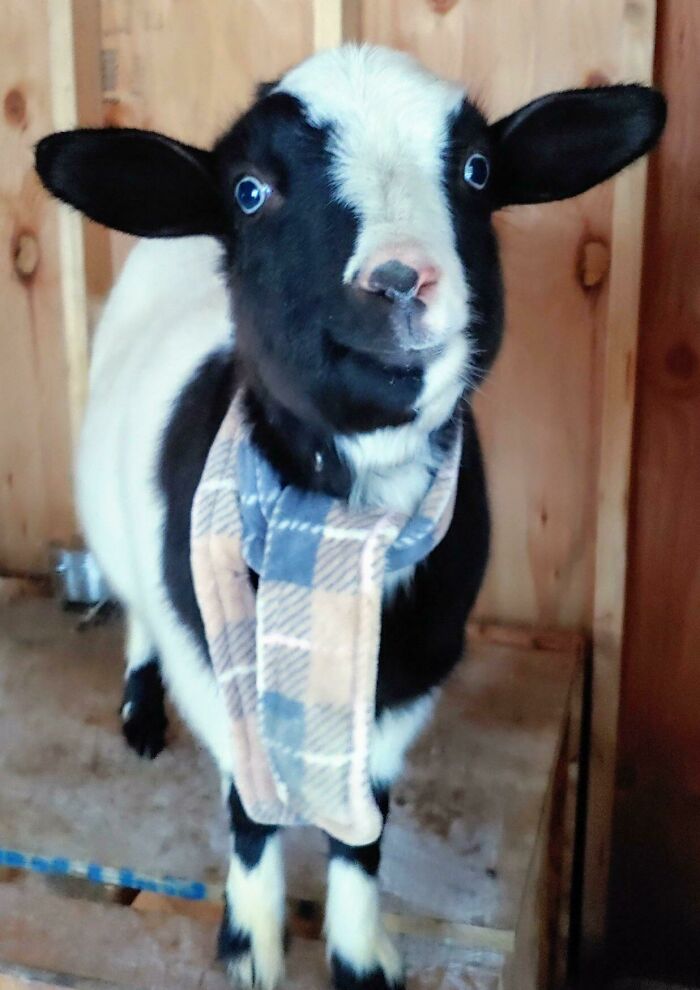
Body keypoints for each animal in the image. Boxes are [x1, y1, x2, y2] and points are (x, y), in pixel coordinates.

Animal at [36, 44, 665, 990]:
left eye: (476, 170)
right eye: (250, 190)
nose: (398, 280)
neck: (344, 530)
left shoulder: (404, 689)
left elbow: (361, 831)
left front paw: (360, 954)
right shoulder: (219, 669)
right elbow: (252, 817)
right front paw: (251, 946)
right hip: (128, 546)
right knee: (140, 617)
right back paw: (141, 716)